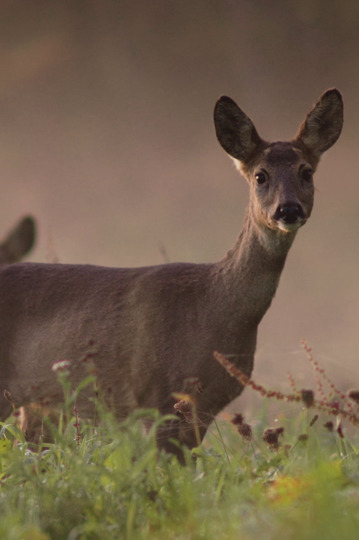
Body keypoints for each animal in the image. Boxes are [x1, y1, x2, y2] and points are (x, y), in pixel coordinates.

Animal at [0, 89, 344, 460]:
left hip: (40, 404)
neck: (212, 307)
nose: (289, 209)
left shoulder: (204, 408)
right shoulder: (156, 395)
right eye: (260, 175)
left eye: (306, 172)